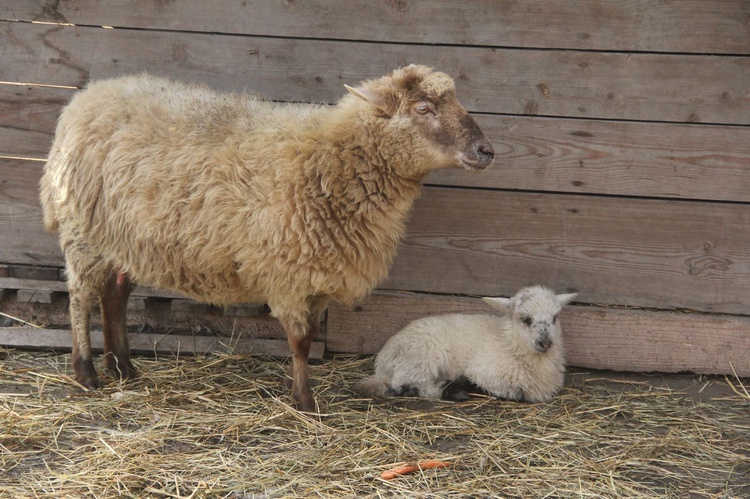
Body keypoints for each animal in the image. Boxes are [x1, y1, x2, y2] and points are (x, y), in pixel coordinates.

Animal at [42, 64, 500, 412]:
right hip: (83, 232)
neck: (331, 162)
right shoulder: (289, 272)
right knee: (82, 298)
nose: (487, 151)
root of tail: (87, 98)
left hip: (121, 239)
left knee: (115, 296)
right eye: (423, 108)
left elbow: (309, 336)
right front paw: (304, 401)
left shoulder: (319, 272)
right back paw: (87, 372)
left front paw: (298, 392)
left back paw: (123, 367)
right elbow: (300, 341)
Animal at [356, 288, 580, 404]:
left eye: (554, 318)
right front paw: (471, 385)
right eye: (525, 319)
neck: (508, 343)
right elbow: (515, 393)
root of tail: (382, 362)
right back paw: (452, 389)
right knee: (402, 385)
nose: (545, 342)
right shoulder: (485, 372)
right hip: (420, 356)